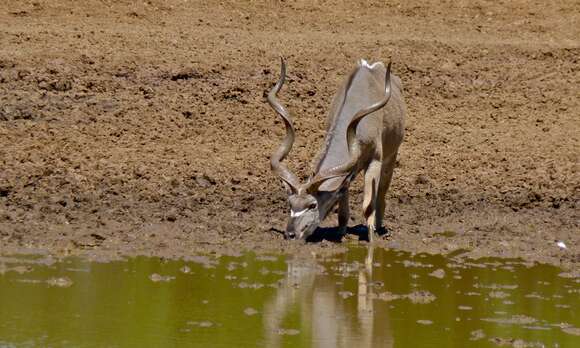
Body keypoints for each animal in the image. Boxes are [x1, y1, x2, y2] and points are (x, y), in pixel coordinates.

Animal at [270, 57, 406, 242]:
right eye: (290, 203)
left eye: (312, 205)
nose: (291, 234)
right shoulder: (348, 172)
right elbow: (342, 206)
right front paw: (340, 233)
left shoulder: (375, 161)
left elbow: (367, 206)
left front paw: (371, 239)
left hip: (391, 156)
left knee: (382, 192)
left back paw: (379, 228)